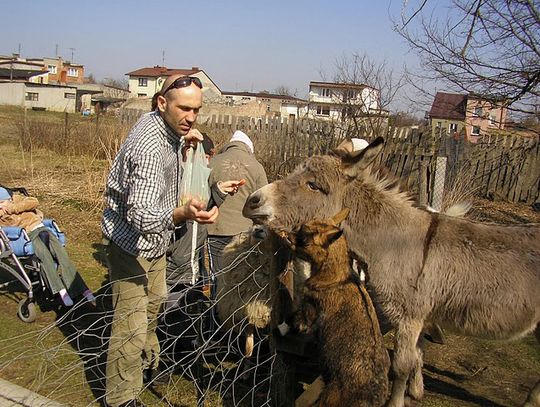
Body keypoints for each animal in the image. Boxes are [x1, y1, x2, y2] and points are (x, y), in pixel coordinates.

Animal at [280, 210, 390, 407]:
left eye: (306, 239)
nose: (286, 234)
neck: (335, 276)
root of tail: (373, 395)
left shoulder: (308, 310)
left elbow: (295, 319)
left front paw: (282, 326)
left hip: (329, 398)